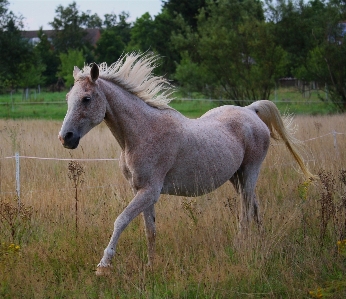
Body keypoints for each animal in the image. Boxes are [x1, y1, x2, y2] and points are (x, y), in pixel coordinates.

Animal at [58, 52, 314, 276]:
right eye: (68, 99)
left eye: (86, 99)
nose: (65, 138)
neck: (142, 133)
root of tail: (251, 110)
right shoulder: (140, 190)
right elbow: (149, 230)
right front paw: (151, 266)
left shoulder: (149, 191)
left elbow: (120, 221)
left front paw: (103, 266)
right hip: (237, 176)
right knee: (255, 207)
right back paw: (260, 243)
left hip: (251, 171)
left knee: (245, 213)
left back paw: (241, 247)